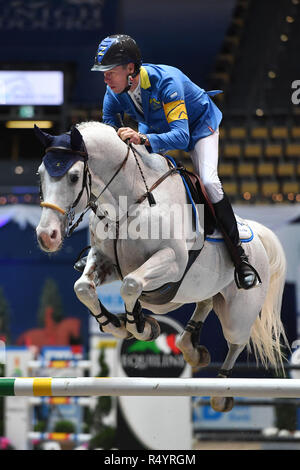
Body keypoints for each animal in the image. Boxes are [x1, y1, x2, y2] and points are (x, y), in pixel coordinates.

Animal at [34, 120, 288, 412]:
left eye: (74, 177)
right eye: (40, 174)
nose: (47, 236)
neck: (128, 200)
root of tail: (256, 233)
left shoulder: (172, 261)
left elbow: (131, 284)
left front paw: (140, 326)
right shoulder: (106, 261)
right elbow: (83, 288)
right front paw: (116, 324)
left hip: (238, 312)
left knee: (236, 342)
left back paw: (220, 392)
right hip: (204, 291)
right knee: (205, 303)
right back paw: (191, 349)